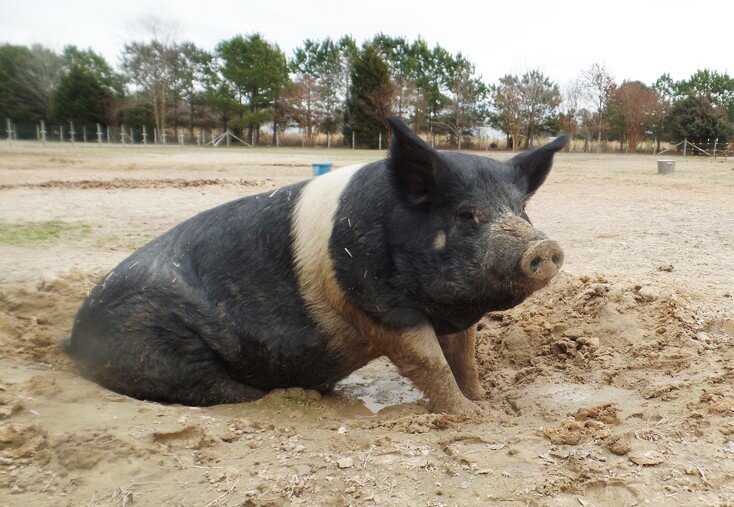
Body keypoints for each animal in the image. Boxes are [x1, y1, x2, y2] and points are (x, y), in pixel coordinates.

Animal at [63, 117, 568, 414]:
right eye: (464, 214)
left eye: (521, 209)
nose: (545, 247)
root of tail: (74, 335)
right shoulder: (372, 300)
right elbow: (426, 360)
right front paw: (468, 416)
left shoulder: (451, 315)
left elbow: (464, 358)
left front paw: (486, 404)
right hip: (155, 340)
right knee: (212, 389)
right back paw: (292, 396)